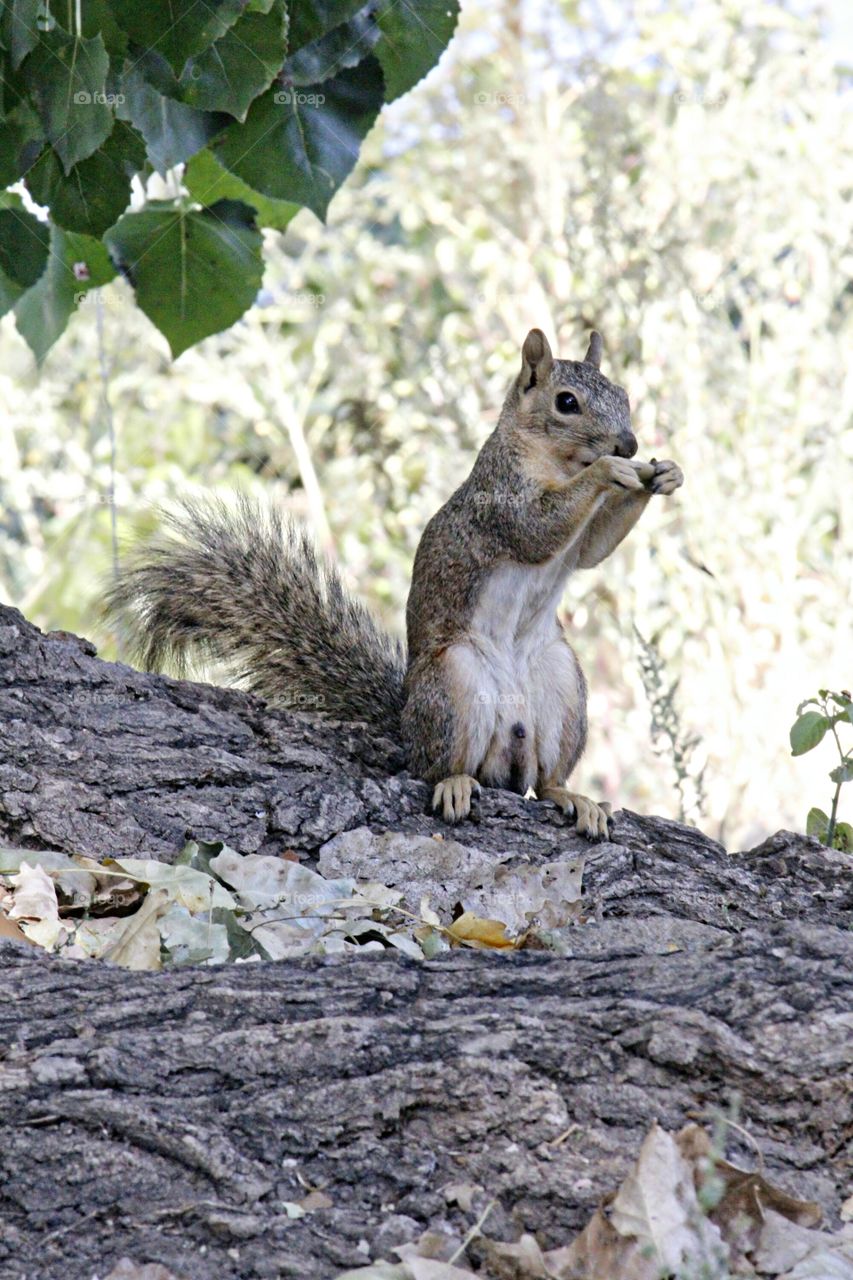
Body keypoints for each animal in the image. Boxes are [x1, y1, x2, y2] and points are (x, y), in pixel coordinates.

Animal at [105, 329, 683, 839]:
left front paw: (662, 474)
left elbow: (590, 550)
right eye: (567, 402)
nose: (629, 443)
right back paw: (454, 783)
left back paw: (573, 797)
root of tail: (407, 724)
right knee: (440, 766)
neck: (556, 463)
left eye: (623, 395)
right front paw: (609, 470)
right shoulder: (501, 500)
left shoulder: (579, 544)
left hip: (561, 685)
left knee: (545, 782)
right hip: (454, 682)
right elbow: (539, 530)